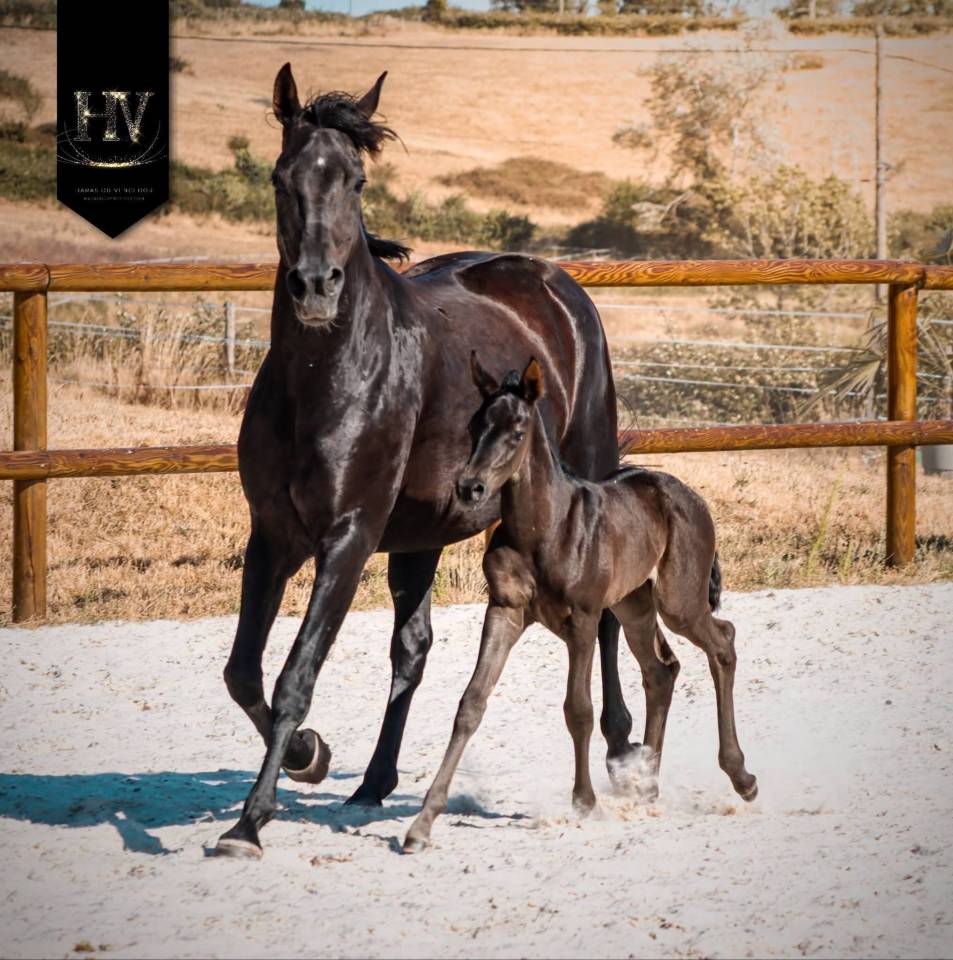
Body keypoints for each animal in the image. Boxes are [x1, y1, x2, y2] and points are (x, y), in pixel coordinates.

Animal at [214, 64, 639, 858]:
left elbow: (293, 677)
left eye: (354, 180)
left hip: (588, 474)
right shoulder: (273, 536)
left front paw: (249, 823)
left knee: (605, 617)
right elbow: (244, 673)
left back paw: (626, 749)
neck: (323, 376)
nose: (315, 287)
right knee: (411, 648)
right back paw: (373, 784)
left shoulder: (347, 537)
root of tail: (553, 283)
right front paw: (311, 756)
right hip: (420, 535)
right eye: (282, 178)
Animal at [403, 356, 757, 851]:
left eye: (517, 430)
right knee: (661, 670)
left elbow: (579, 709)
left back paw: (741, 777)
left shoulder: (584, 618)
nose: (470, 487)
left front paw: (585, 801)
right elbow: (471, 704)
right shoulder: (504, 611)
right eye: (475, 425)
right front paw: (422, 824)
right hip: (634, 604)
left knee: (723, 642)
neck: (543, 528)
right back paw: (647, 785)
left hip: (677, 601)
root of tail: (687, 494)